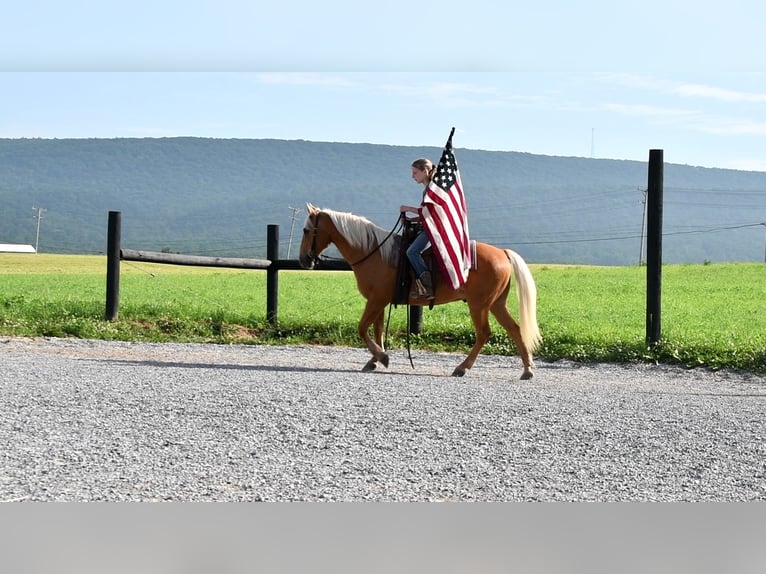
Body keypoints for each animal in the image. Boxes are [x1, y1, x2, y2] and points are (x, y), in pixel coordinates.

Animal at [296, 205, 544, 380]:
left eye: (306, 230)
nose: (304, 260)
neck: (373, 251)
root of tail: (502, 253)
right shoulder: (379, 301)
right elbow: (376, 329)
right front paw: (374, 360)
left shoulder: (376, 300)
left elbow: (362, 328)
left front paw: (382, 357)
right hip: (496, 304)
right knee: (515, 329)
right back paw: (527, 370)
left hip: (479, 305)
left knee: (484, 333)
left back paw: (462, 368)